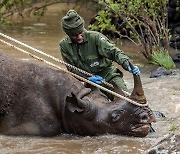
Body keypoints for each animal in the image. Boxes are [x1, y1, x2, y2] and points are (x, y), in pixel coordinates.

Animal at [0, 33, 148, 107]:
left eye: (80, 34)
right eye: (76, 35)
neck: (79, 42)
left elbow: (112, 51)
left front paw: (129, 66)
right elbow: (71, 67)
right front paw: (93, 79)